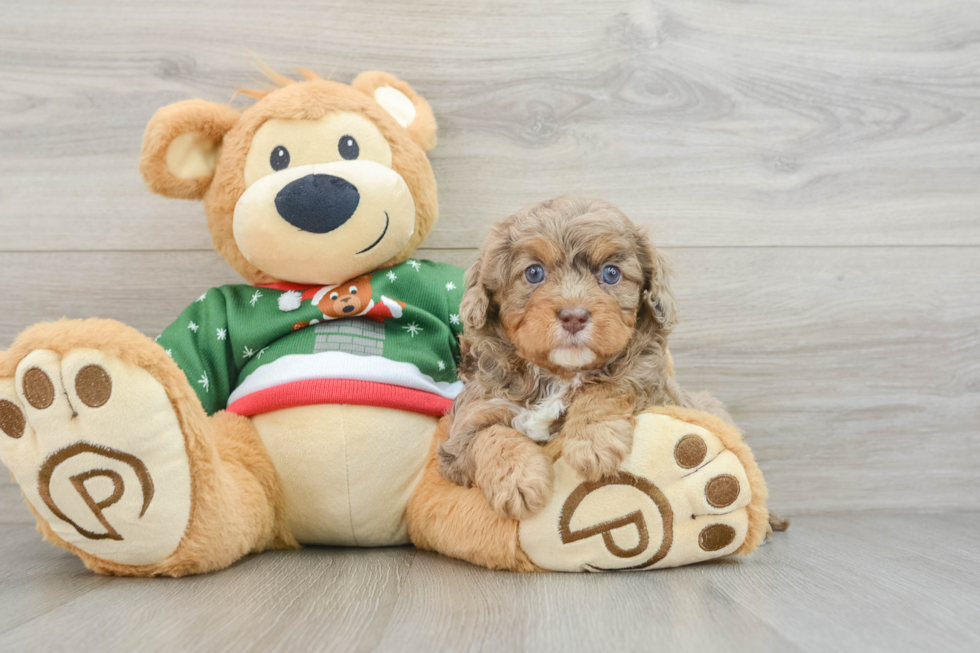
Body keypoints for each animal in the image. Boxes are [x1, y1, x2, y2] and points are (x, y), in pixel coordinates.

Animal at [440, 195, 724, 520]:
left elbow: (609, 385)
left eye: (611, 273)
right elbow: (489, 435)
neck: (559, 375)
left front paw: (593, 443)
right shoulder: (469, 421)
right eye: (534, 272)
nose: (574, 316)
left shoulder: (655, 388)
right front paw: (518, 481)